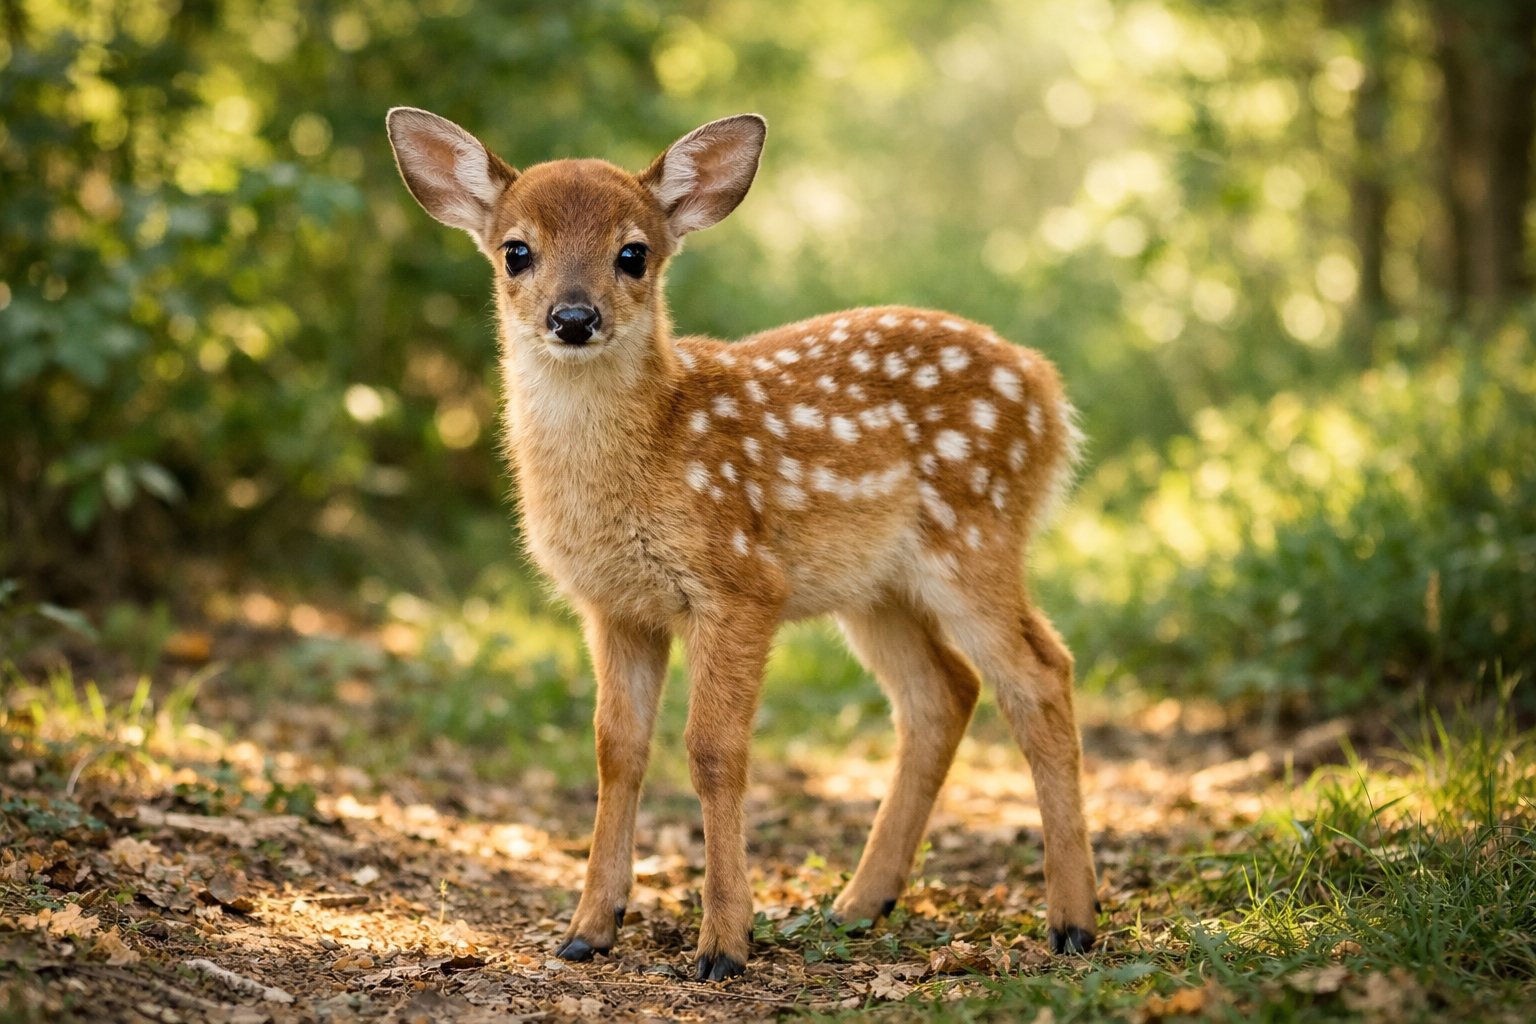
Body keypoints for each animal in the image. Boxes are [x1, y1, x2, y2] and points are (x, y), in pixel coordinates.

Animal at [385, 107, 1099, 981]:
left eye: (634, 253)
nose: (574, 319)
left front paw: (724, 942)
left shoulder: (739, 582)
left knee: (1039, 674)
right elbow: (617, 749)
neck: (648, 454)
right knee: (942, 692)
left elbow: (713, 751)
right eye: (517, 250)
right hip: (876, 586)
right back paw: (860, 903)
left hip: (976, 534)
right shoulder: (615, 606)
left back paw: (1072, 921)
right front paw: (588, 928)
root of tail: (1047, 391)